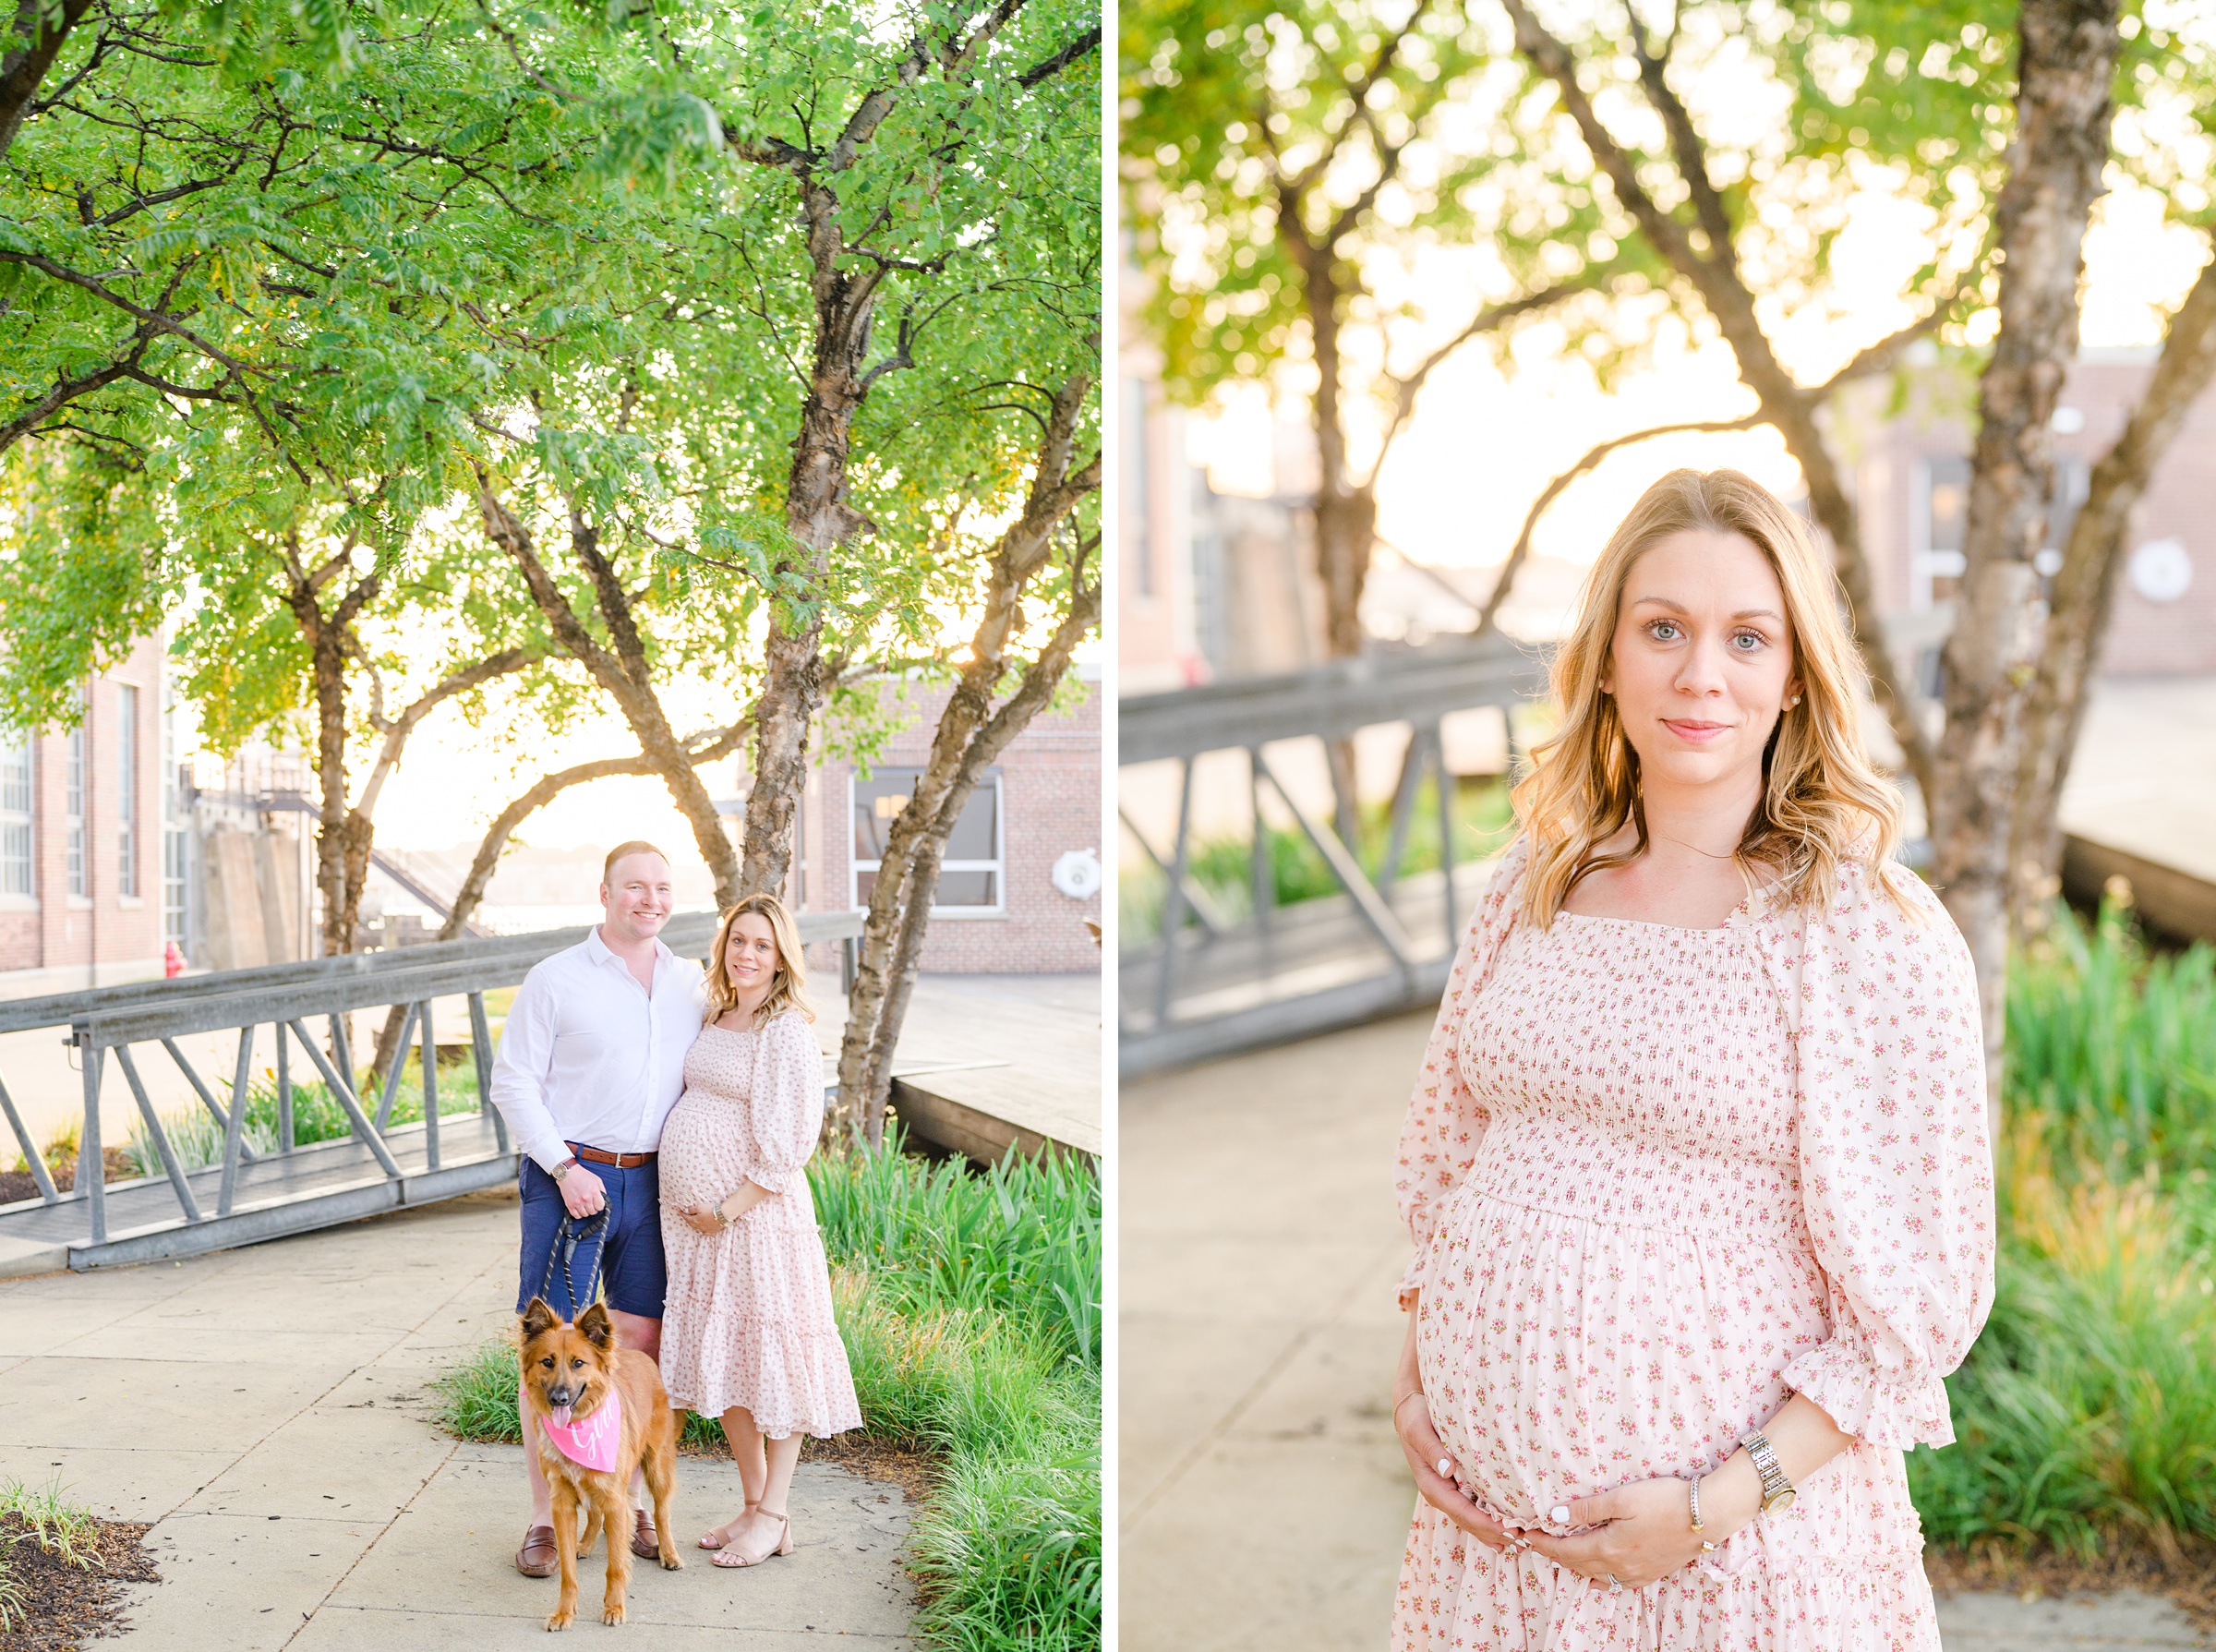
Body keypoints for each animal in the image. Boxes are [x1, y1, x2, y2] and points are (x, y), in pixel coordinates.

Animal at [516, 1285, 678, 1622]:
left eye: (578, 1363)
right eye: (547, 1362)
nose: (559, 1398)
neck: (579, 1430)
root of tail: (640, 1357)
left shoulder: (615, 1500)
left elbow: (615, 1565)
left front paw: (614, 1607)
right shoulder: (562, 1503)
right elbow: (567, 1570)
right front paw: (564, 1612)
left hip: (657, 1467)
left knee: (662, 1512)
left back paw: (668, 1552)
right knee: (593, 1514)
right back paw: (586, 1543)